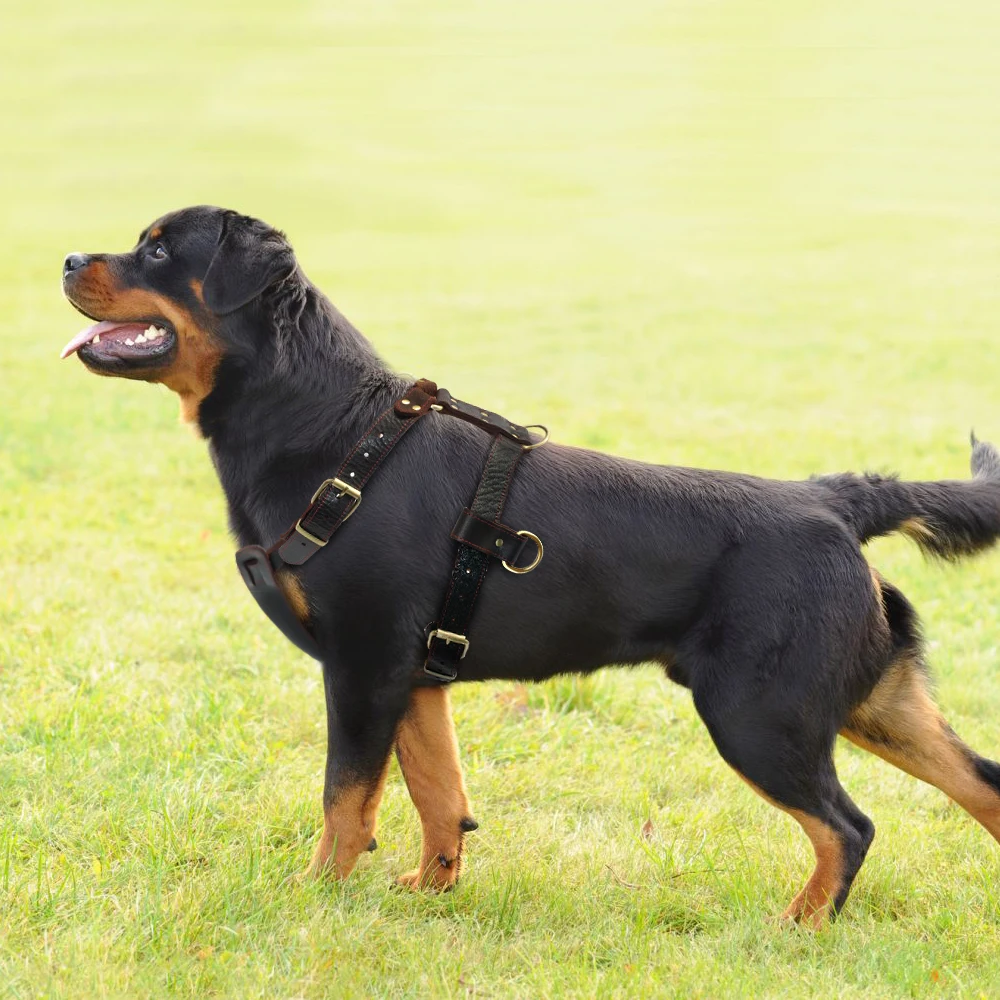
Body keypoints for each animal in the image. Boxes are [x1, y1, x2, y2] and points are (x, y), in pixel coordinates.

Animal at [60, 207, 1000, 924]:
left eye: (157, 251)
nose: (68, 257)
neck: (335, 433)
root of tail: (836, 501)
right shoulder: (414, 677)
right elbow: (438, 796)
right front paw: (429, 890)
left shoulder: (361, 665)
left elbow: (346, 799)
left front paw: (315, 892)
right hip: (873, 700)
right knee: (982, 785)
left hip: (760, 711)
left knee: (847, 825)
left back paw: (798, 925)